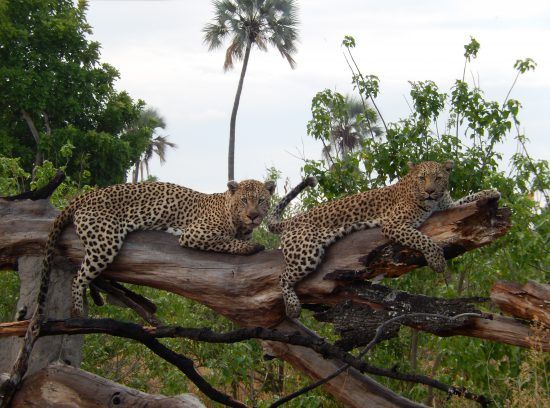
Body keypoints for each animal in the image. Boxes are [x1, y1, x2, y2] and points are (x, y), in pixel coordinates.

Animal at [270, 160, 502, 318]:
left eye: (437, 178)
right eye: (422, 178)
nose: (429, 191)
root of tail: (290, 220)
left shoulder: (448, 205)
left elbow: (467, 198)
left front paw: (490, 192)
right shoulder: (394, 224)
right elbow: (423, 239)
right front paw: (436, 261)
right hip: (306, 253)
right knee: (282, 277)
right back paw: (293, 307)